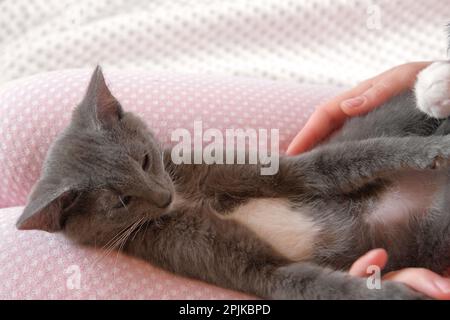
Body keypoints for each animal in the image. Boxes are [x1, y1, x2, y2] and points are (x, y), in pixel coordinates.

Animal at [15, 65, 450, 300]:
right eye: (121, 202)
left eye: (144, 159)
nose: (163, 197)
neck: (189, 196)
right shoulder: (229, 260)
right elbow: (295, 281)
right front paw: (398, 294)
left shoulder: (271, 170)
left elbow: (341, 159)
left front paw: (432, 151)